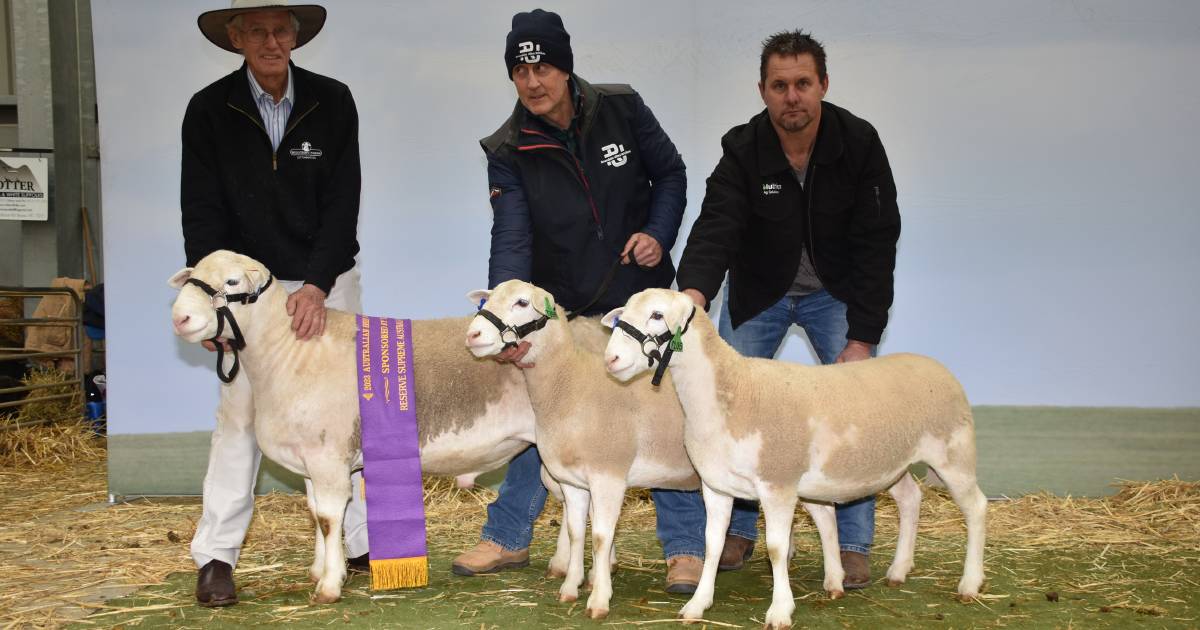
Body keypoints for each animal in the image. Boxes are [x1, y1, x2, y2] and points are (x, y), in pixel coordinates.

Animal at [168, 248, 540, 602]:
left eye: (231, 282)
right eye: (192, 276)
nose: (180, 317)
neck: (288, 352)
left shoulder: (328, 458)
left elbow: (330, 520)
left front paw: (330, 585)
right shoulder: (311, 460)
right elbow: (315, 514)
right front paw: (319, 571)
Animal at [463, 279, 700, 619]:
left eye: (522, 303)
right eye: (489, 298)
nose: (473, 335)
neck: (570, 386)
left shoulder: (607, 477)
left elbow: (601, 537)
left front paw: (599, 598)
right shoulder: (573, 482)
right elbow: (577, 532)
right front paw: (570, 588)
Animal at [600, 290, 984, 628]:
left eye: (657, 315)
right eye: (622, 315)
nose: (611, 360)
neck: (734, 390)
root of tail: (935, 364)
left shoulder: (777, 484)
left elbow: (776, 548)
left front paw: (780, 610)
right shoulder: (716, 487)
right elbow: (712, 543)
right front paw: (698, 604)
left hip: (954, 451)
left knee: (975, 507)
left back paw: (970, 583)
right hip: (894, 462)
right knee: (910, 499)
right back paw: (898, 570)